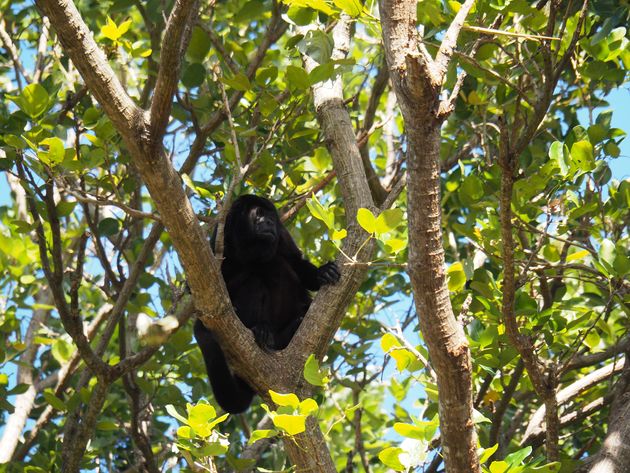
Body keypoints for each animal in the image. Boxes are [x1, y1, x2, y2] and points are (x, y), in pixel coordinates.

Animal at [194, 194, 340, 412]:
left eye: (271, 216)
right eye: (259, 214)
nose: (270, 222)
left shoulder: (282, 234)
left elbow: (295, 261)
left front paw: (322, 272)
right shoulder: (218, 240)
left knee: (279, 266)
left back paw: (294, 325)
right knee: (256, 280)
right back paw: (261, 330)